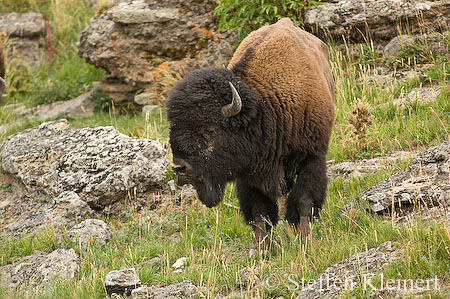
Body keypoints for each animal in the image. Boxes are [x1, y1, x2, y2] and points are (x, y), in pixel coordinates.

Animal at [166, 17, 334, 250]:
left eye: (210, 129)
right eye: (173, 127)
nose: (179, 168)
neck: (265, 107)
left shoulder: (312, 159)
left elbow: (303, 201)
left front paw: (306, 241)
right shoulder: (248, 177)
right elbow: (259, 211)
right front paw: (260, 249)